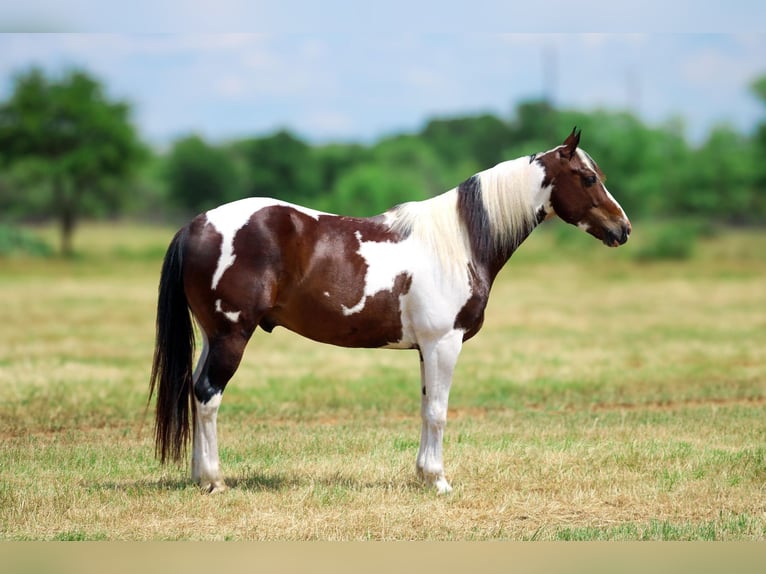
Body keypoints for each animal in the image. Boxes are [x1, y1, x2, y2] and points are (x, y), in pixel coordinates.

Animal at [149, 128, 631, 494]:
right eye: (588, 178)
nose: (622, 228)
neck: (459, 242)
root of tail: (195, 225)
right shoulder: (444, 342)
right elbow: (439, 411)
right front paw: (439, 482)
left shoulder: (426, 348)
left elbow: (424, 406)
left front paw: (423, 475)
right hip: (232, 336)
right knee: (208, 395)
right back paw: (215, 481)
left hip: (212, 336)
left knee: (195, 391)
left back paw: (198, 477)